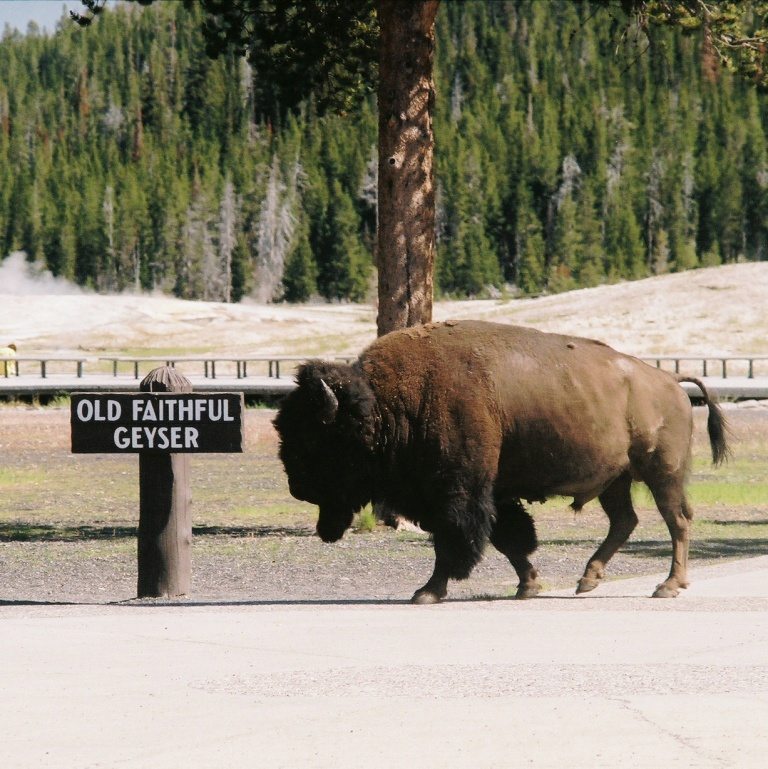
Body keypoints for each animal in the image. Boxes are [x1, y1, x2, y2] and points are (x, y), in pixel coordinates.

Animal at [272, 320, 728, 604]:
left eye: (314, 439)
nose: (297, 487)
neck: (388, 404)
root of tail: (670, 380)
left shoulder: (458, 493)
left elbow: (455, 543)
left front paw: (427, 592)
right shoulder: (493, 493)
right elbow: (509, 538)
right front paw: (529, 586)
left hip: (662, 473)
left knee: (677, 521)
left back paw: (668, 585)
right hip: (615, 480)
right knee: (625, 521)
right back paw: (587, 579)